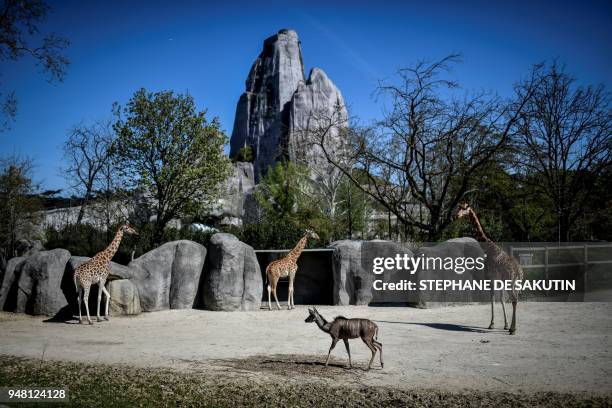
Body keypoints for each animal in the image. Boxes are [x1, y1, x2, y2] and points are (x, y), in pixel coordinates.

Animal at [456, 203, 524, 334]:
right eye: (458, 207)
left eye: (464, 208)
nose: (457, 215)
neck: (488, 246)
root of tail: (519, 272)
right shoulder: (498, 280)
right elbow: (501, 299)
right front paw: (505, 325)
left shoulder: (489, 278)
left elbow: (492, 298)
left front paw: (491, 324)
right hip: (516, 283)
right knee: (516, 299)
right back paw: (513, 327)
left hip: (510, 282)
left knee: (514, 299)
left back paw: (513, 329)